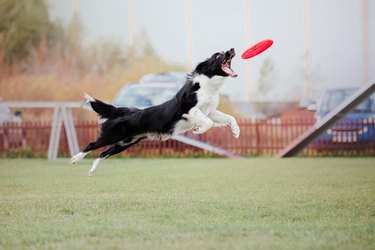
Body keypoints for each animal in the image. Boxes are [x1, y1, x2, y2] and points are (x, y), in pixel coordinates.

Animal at [70, 47, 239, 175]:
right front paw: (198, 130)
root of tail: (126, 112)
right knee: (92, 144)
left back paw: (92, 170)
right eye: (217, 55)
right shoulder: (189, 110)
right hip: (113, 135)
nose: (232, 49)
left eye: (224, 51)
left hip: (126, 142)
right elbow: (208, 122)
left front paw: (235, 132)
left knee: (103, 153)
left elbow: (229, 118)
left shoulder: (210, 111)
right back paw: (74, 159)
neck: (207, 87)